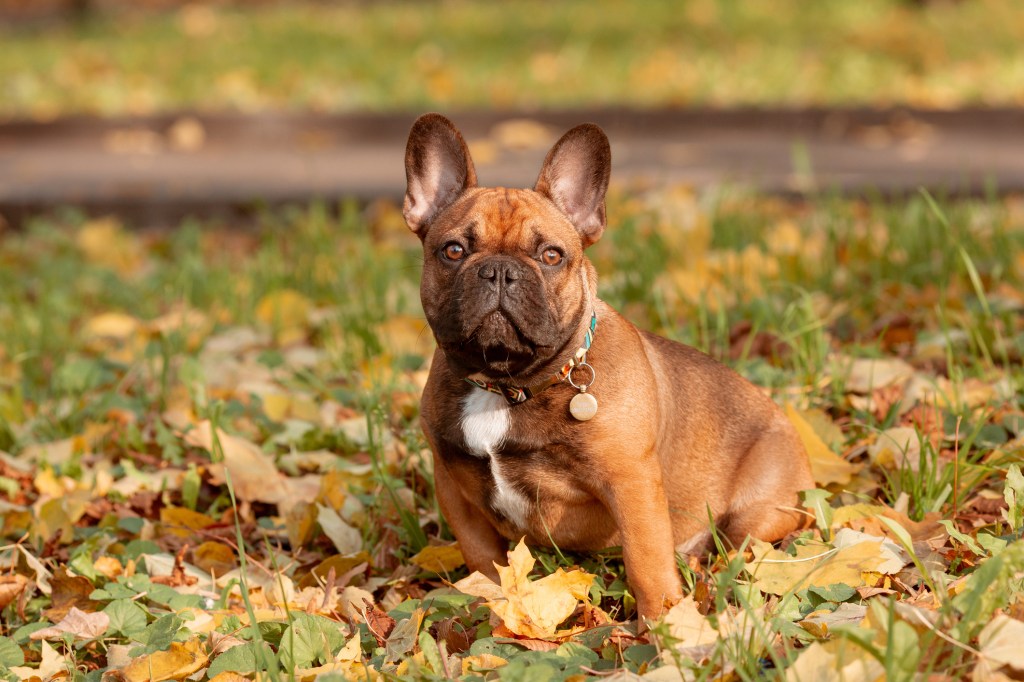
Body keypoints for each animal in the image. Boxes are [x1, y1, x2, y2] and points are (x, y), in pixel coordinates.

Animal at [403, 114, 811, 622]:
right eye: (454, 250)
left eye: (551, 256)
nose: (499, 270)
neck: (506, 384)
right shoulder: (453, 487)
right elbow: (483, 557)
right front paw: (493, 602)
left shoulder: (630, 482)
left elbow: (645, 559)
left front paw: (666, 623)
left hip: (757, 512)